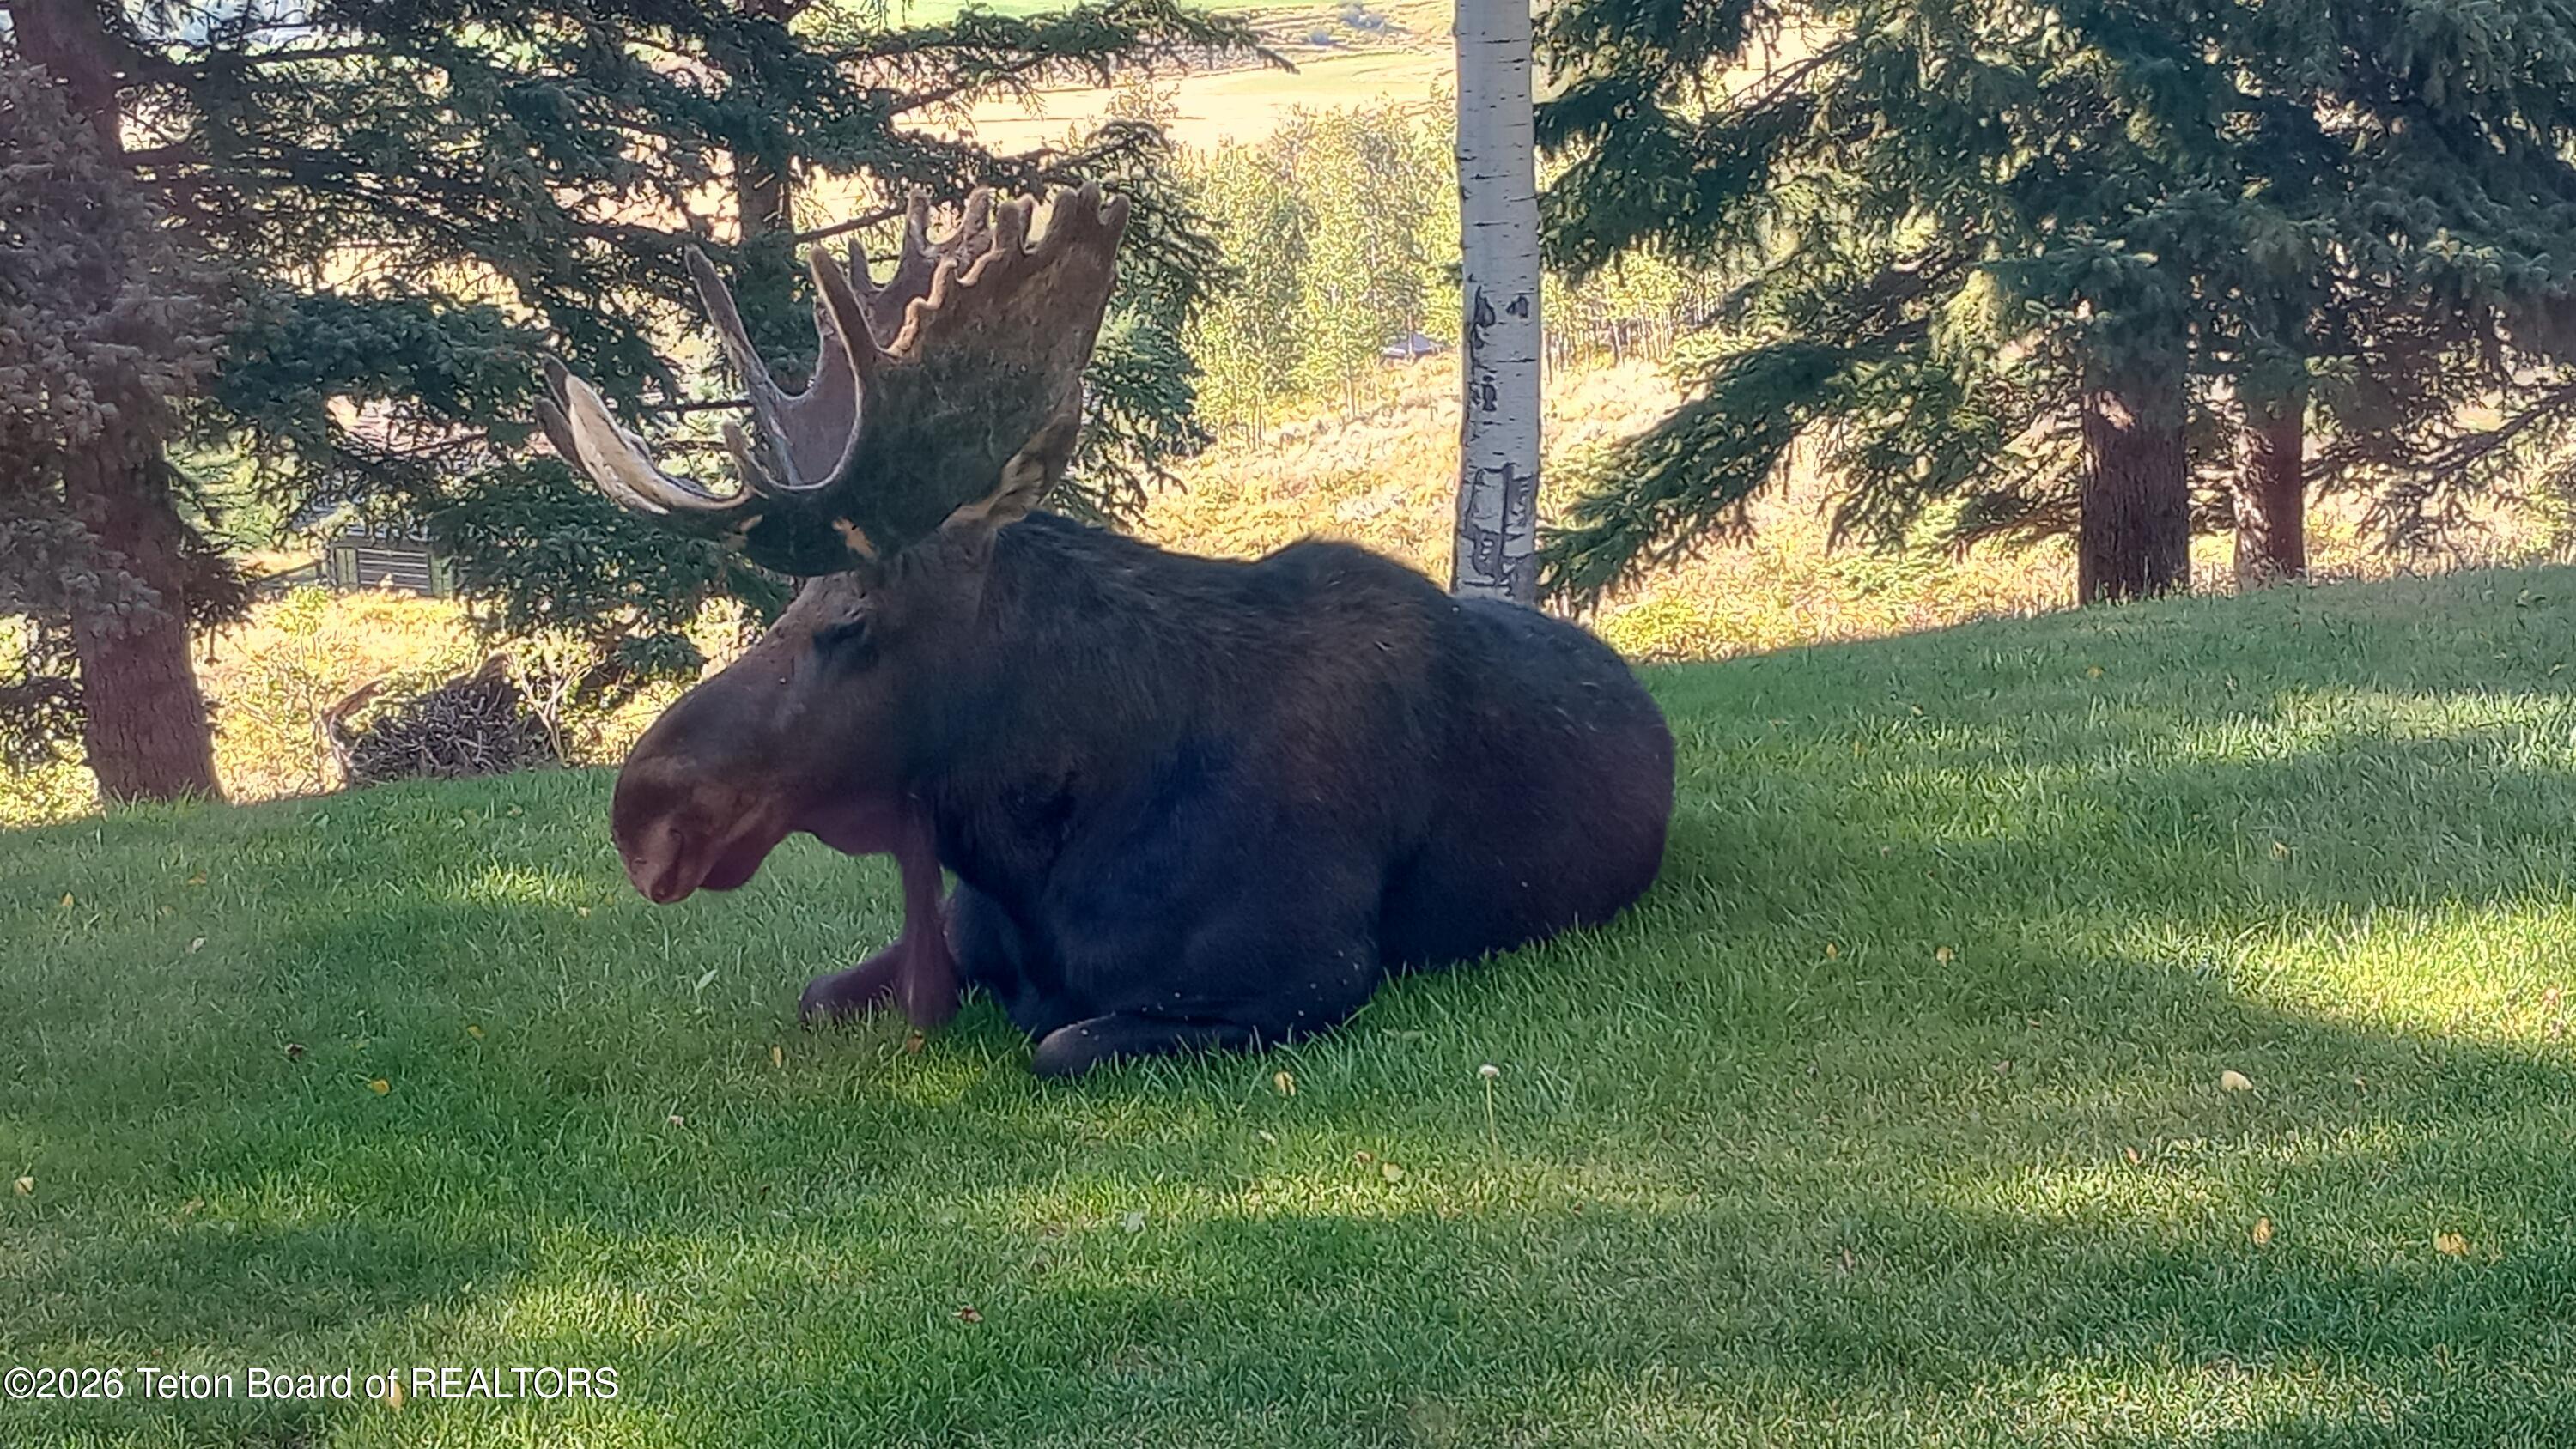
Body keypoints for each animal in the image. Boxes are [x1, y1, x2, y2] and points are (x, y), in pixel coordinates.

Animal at [536, 184, 1674, 1076]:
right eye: (791, 608)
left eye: (851, 622)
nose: (643, 810)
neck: (1035, 852)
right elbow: (817, 994)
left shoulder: (1309, 975)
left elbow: (1061, 1041)